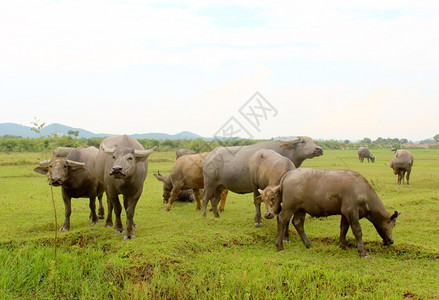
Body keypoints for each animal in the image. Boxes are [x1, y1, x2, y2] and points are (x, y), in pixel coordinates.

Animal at [260, 169, 400, 258]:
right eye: (393, 225)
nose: (391, 241)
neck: (362, 191)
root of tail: (289, 174)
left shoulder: (345, 213)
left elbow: (344, 228)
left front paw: (343, 245)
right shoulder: (352, 212)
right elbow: (357, 231)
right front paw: (363, 252)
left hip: (301, 209)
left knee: (298, 223)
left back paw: (308, 244)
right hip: (289, 206)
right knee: (282, 219)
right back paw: (280, 246)